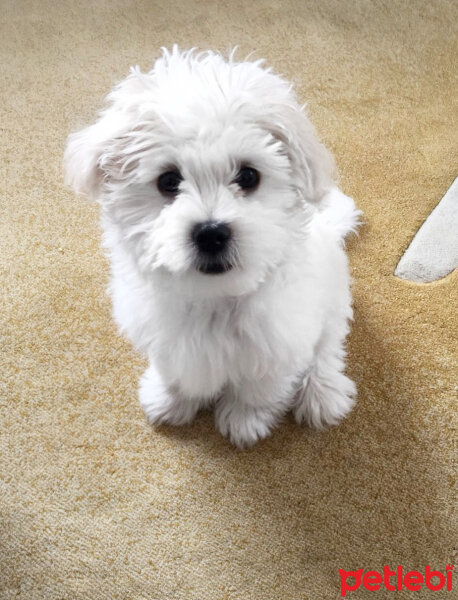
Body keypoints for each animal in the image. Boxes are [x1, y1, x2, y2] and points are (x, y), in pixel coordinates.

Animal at [64, 47, 362, 448]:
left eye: (248, 176)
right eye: (168, 181)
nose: (211, 233)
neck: (214, 298)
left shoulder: (279, 342)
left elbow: (257, 388)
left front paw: (244, 419)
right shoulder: (166, 338)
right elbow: (174, 372)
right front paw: (170, 401)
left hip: (332, 303)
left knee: (327, 349)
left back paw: (322, 393)